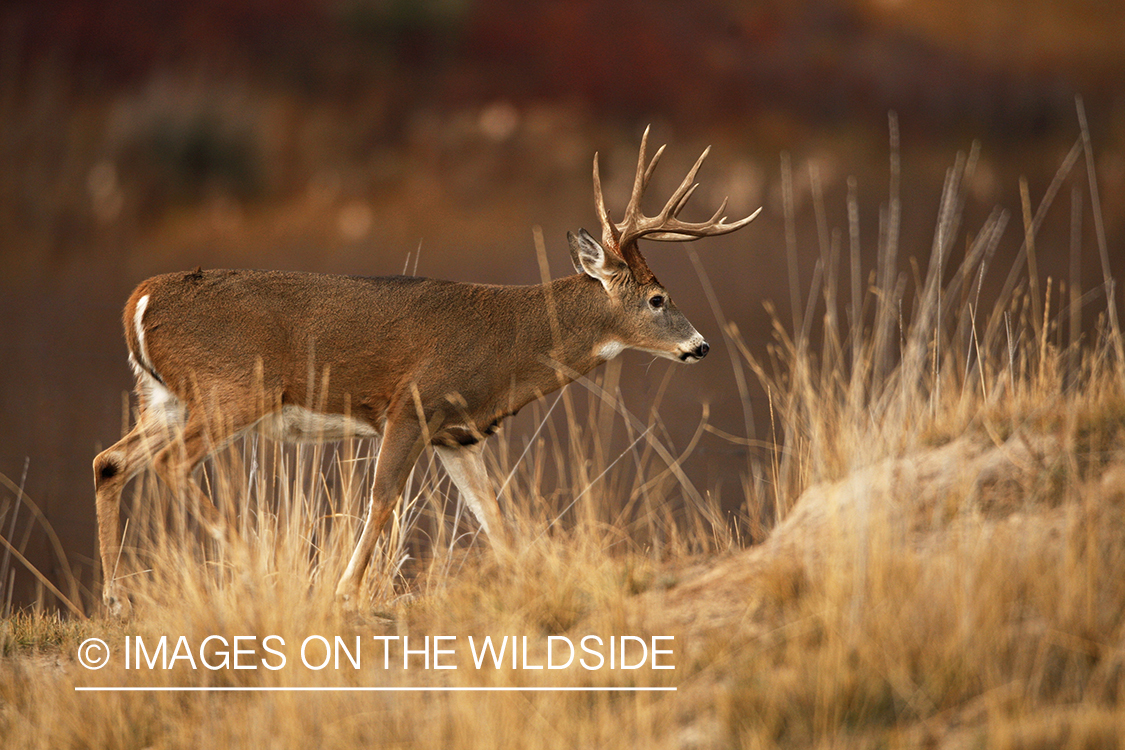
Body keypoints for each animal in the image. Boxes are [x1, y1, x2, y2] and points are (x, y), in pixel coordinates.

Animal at [93, 127, 760, 617]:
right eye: (657, 298)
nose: (701, 346)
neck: (509, 346)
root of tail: (138, 303)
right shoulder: (413, 404)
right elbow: (383, 499)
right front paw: (343, 591)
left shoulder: (457, 434)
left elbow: (495, 516)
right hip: (231, 389)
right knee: (171, 464)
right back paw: (251, 562)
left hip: (166, 398)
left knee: (110, 461)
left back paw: (118, 600)